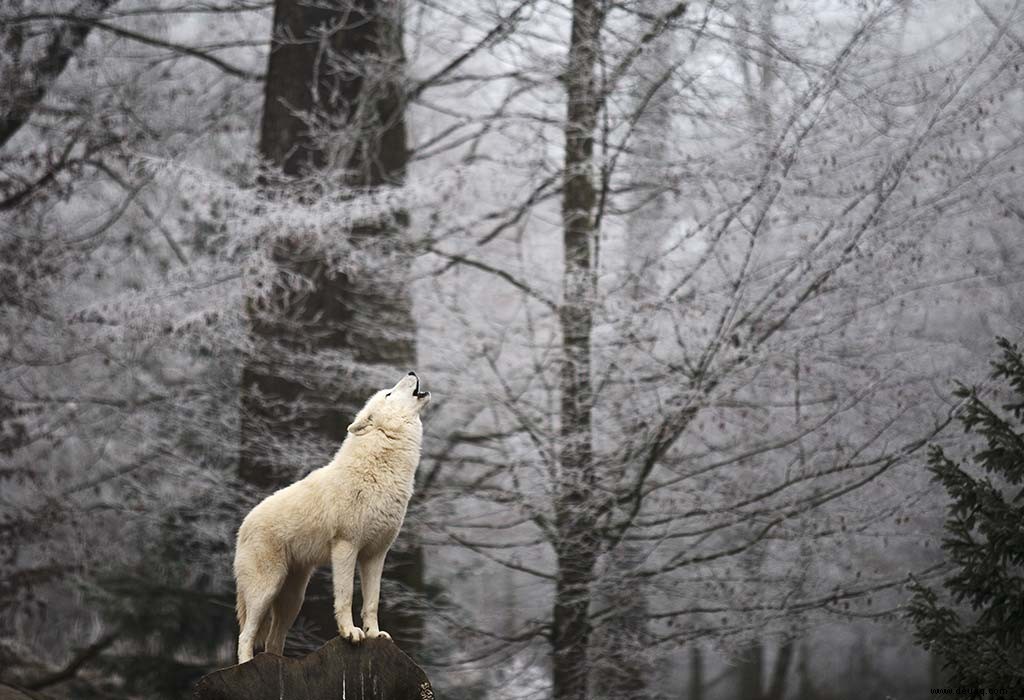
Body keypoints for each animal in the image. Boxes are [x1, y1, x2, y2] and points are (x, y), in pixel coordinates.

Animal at [234, 372, 430, 663]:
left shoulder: (376, 554)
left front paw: (374, 634)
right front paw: (351, 633)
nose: (411, 372)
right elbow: (346, 596)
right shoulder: (345, 547)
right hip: (265, 590)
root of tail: (243, 525)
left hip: (293, 600)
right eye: (388, 394)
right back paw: (248, 665)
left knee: (272, 640)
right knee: (245, 635)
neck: (380, 466)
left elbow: (372, 602)